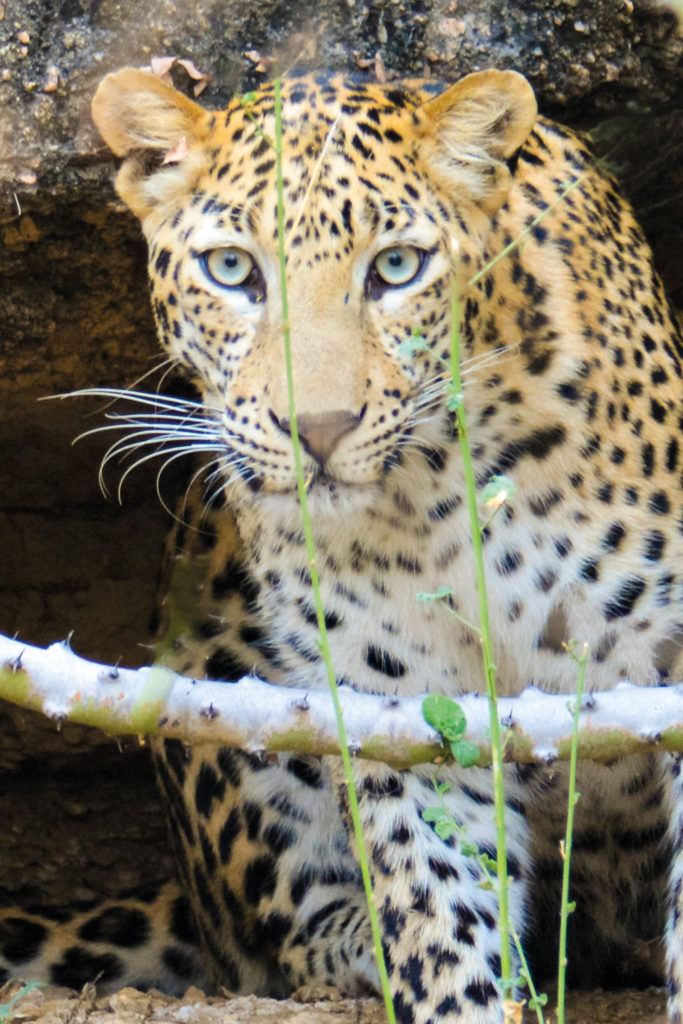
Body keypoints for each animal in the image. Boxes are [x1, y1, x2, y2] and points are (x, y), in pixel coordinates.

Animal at [1, 66, 683, 1024]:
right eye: (231, 269)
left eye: (395, 267)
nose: (319, 429)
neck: (438, 499)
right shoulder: (402, 712)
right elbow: (438, 914)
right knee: (275, 945)